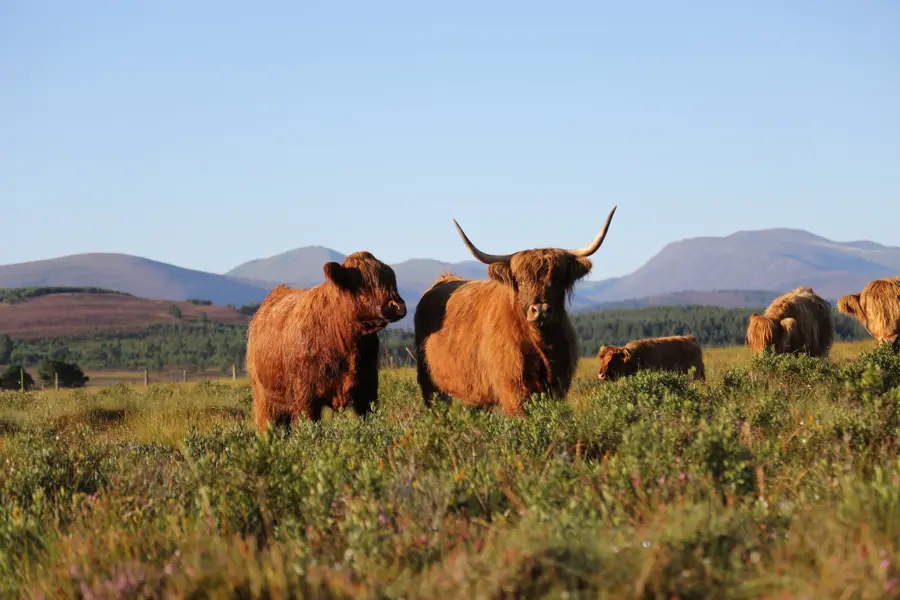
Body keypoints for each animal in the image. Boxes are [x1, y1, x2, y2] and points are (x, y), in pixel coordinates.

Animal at [245, 251, 406, 430]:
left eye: (391, 280)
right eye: (363, 282)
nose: (397, 305)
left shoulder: (367, 391)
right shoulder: (306, 398)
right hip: (265, 402)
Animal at [413, 206, 618, 417]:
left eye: (558, 279)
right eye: (521, 280)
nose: (540, 310)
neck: (543, 344)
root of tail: (443, 280)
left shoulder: (560, 387)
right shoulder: (514, 391)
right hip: (430, 385)